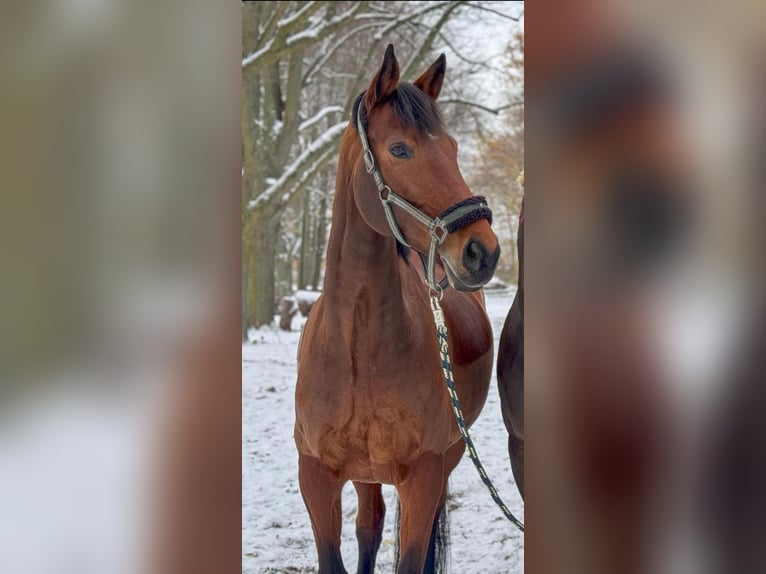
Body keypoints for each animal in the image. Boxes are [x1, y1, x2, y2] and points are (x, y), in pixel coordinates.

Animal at [294, 45, 501, 574]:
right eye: (400, 149)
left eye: (452, 148)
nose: (482, 251)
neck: (357, 348)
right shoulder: (316, 475)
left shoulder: (425, 473)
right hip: (366, 474)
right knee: (370, 527)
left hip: (446, 458)